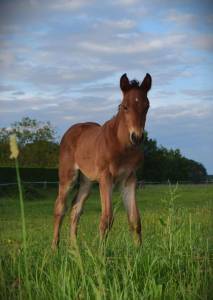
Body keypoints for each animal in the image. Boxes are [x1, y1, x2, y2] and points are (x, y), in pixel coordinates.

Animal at [51, 72, 151, 248]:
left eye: (147, 106)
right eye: (125, 106)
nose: (137, 137)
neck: (123, 147)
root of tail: (72, 129)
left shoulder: (129, 179)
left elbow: (135, 219)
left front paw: (140, 251)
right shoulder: (106, 178)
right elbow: (107, 219)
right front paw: (101, 252)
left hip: (87, 181)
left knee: (75, 209)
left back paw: (74, 249)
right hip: (68, 176)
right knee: (60, 208)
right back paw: (54, 248)